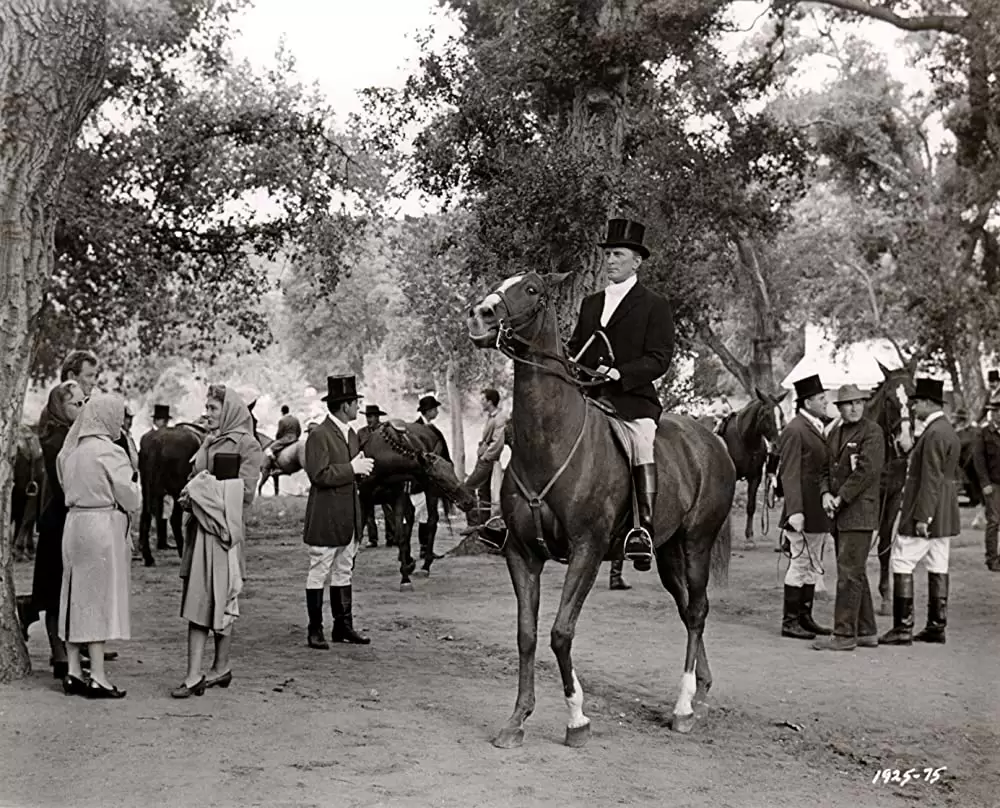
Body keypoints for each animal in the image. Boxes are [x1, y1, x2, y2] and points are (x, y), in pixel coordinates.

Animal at [466, 274, 736, 752]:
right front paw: (517, 720)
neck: (550, 441)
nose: (480, 315)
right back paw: (700, 690)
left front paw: (577, 718)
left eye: (532, 288)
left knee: (698, 612)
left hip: (696, 544)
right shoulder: (521, 554)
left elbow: (560, 632)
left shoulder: (586, 551)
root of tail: (712, 439)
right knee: (689, 609)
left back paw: (684, 707)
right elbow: (526, 635)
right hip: (668, 553)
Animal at [720, 388, 788, 548]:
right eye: (766, 414)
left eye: (781, 415)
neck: (745, 440)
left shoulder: (755, 477)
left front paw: (749, 537)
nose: (777, 446)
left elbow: (751, 506)